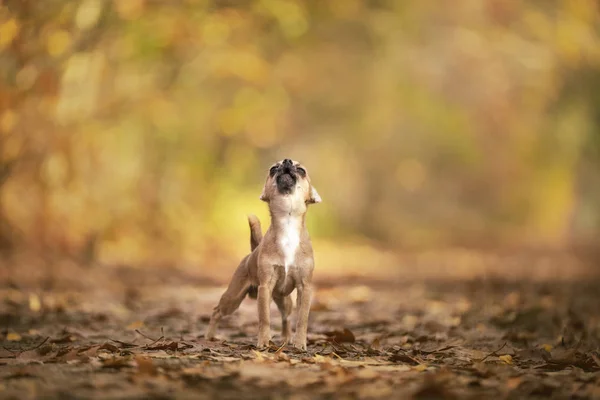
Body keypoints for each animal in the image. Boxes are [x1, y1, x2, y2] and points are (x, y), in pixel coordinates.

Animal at [205, 159, 322, 350]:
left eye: (301, 170)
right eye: (273, 169)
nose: (287, 161)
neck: (288, 225)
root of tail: (253, 251)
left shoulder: (305, 288)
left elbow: (302, 319)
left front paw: (300, 343)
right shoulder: (265, 288)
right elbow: (264, 318)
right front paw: (263, 341)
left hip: (285, 301)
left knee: (286, 318)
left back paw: (287, 339)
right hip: (233, 298)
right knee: (216, 311)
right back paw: (209, 336)